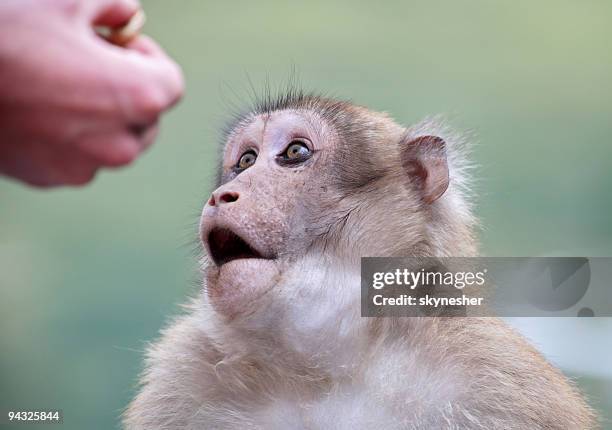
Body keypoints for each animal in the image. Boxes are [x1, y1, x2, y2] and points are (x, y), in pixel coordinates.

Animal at [123, 90, 596, 430]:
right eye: (246, 160)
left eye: (294, 153)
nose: (223, 194)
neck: (329, 367)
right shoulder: (180, 382)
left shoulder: (502, 384)